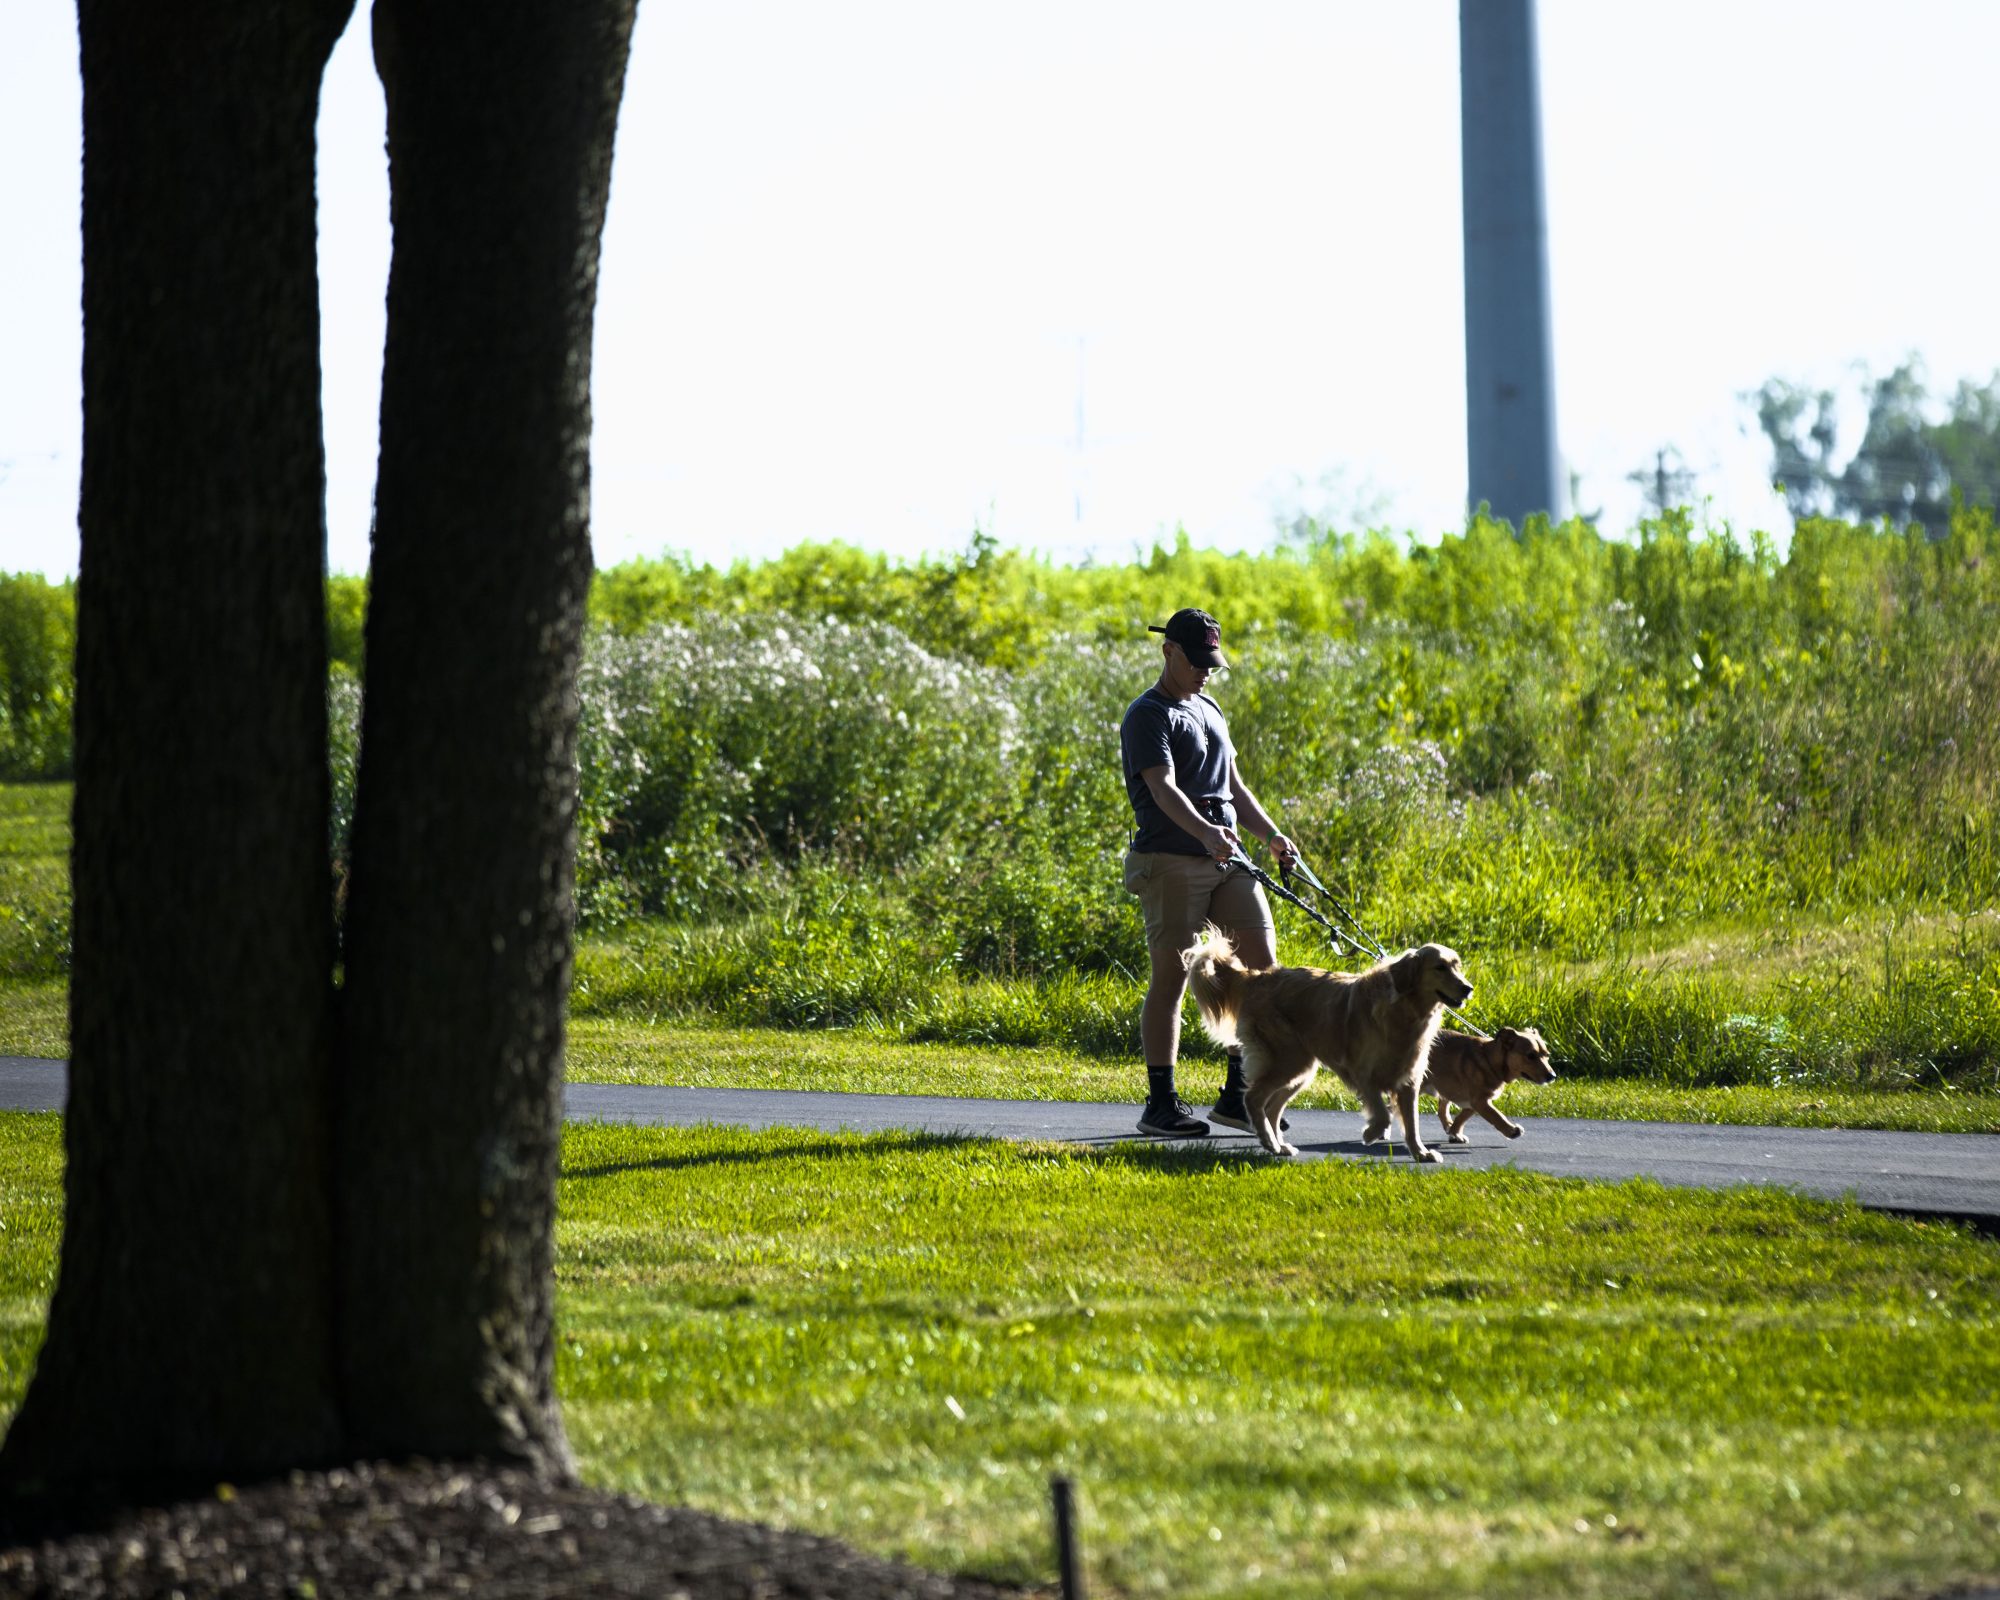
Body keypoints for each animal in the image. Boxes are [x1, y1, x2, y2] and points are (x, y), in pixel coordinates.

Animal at [1184, 924, 1472, 1160]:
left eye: (1457, 966)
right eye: (1440, 967)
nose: (1468, 988)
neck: (1405, 1010)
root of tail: (1257, 977)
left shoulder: (1408, 1082)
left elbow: (1412, 1123)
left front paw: (1421, 1153)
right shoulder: (1364, 1075)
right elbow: (1382, 1114)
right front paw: (1370, 1134)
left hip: (1300, 1069)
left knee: (1272, 1107)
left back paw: (1280, 1145)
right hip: (1288, 1060)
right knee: (1254, 1098)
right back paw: (1269, 1142)